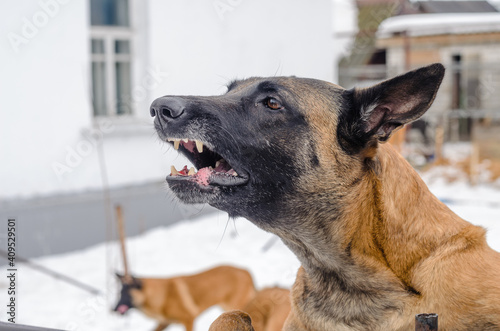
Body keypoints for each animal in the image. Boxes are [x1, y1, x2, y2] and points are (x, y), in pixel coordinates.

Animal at [113, 268, 254, 331]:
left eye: (125, 294)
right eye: (119, 293)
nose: (113, 309)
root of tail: (246, 271)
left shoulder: (188, 319)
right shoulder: (164, 323)